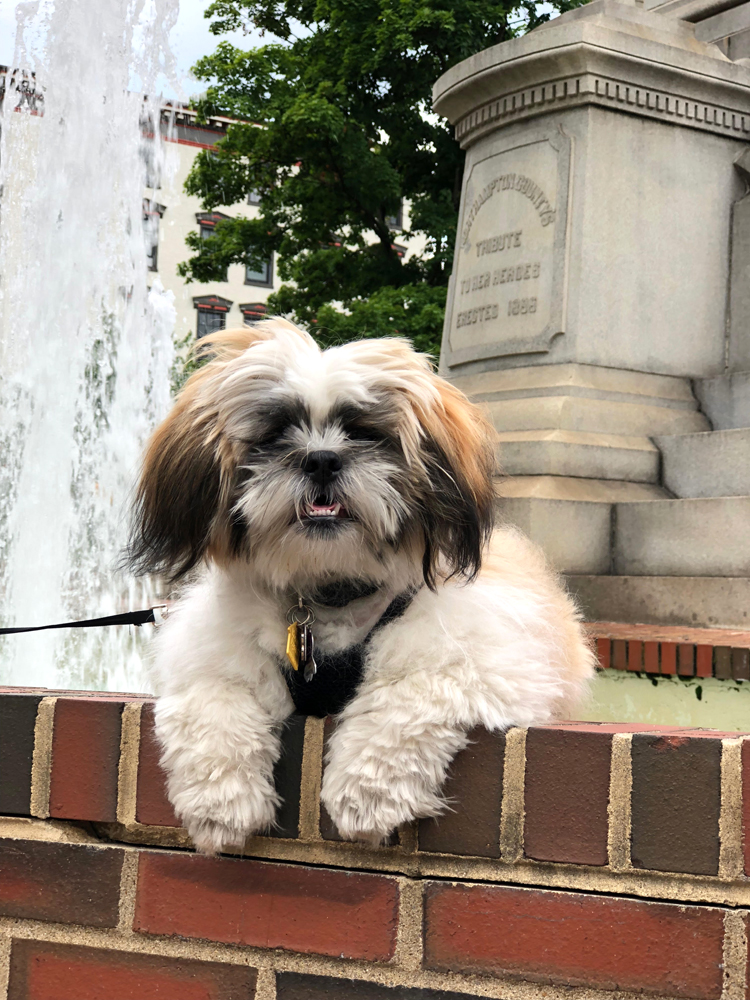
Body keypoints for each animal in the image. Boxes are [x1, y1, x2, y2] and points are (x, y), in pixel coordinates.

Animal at [131, 318, 600, 852]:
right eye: (276, 434)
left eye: (363, 433)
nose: (321, 459)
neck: (328, 592)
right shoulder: (208, 655)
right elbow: (213, 701)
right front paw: (221, 803)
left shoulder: (485, 656)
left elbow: (410, 691)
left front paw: (367, 795)